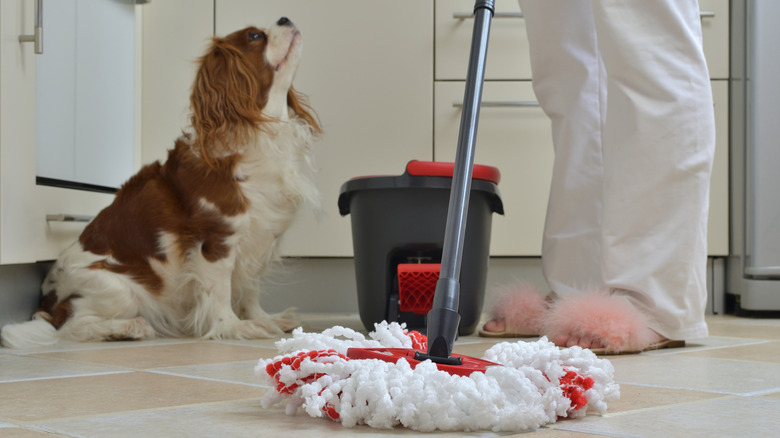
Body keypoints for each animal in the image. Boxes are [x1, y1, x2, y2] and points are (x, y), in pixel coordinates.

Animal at [1, 17, 320, 350]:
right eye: (255, 36)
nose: (285, 18)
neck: (262, 129)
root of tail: (47, 304)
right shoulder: (216, 240)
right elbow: (220, 292)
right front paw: (235, 327)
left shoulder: (258, 239)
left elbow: (249, 288)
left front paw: (263, 318)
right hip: (118, 290)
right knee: (71, 326)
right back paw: (126, 328)